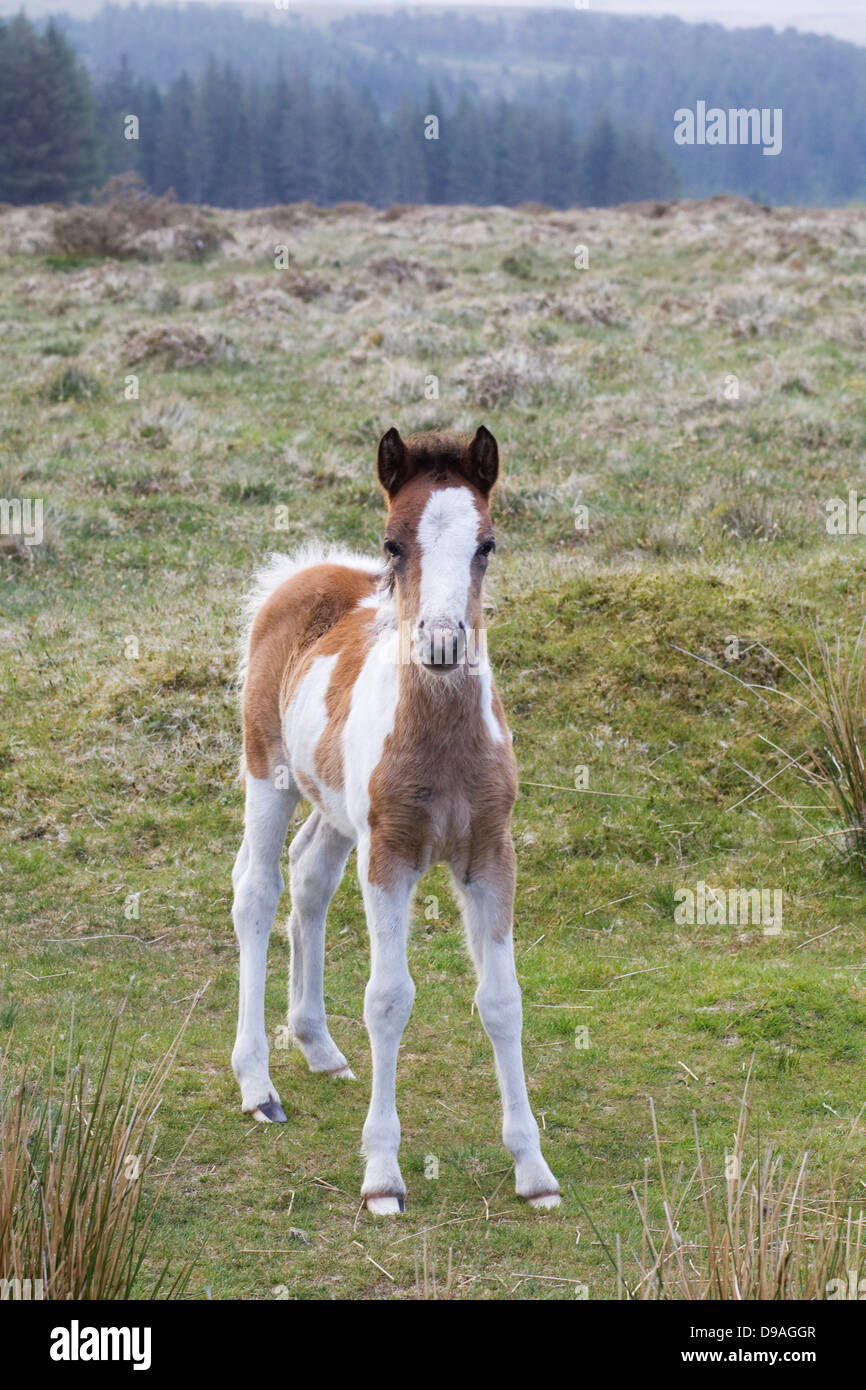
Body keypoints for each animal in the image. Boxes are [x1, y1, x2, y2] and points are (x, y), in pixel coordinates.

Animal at [231, 425, 560, 1214]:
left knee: (309, 876)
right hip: (268, 772)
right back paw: (258, 1085)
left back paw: (318, 1047)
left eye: (487, 543)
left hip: (336, 808)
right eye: (392, 543)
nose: (442, 643)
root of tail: (302, 570)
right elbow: (388, 998)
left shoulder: (490, 854)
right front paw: (383, 1174)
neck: (443, 745)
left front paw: (533, 1169)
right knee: (256, 891)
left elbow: (502, 999)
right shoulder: (391, 855)